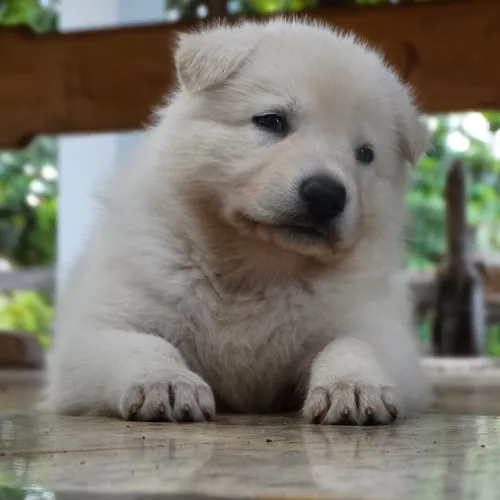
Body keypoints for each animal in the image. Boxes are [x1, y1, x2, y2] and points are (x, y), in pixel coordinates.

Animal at [45, 19, 432, 426]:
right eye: (272, 121)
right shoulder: (95, 333)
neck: (255, 269)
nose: (326, 195)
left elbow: (352, 343)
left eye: (365, 154)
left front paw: (354, 386)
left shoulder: (380, 333)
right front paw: (166, 382)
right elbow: (144, 343)